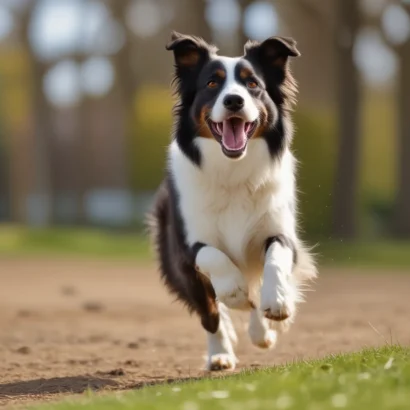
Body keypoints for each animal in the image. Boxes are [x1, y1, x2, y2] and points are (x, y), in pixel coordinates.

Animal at [148, 32, 318, 372]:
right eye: (212, 83)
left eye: (252, 84)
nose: (234, 100)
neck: (232, 172)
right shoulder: (185, 248)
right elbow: (213, 259)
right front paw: (233, 292)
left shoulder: (281, 232)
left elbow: (275, 259)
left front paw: (277, 303)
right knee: (211, 313)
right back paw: (220, 353)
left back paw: (261, 330)